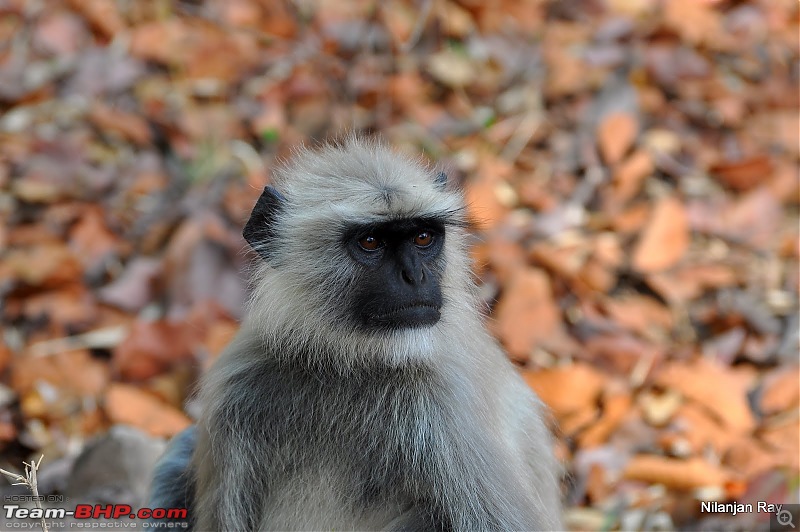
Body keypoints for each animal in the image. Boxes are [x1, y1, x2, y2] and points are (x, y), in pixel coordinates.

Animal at [150, 137, 564, 528]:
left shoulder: (444, 402)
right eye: (370, 242)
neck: (347, 364)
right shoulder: (236, 387)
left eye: (423, 238)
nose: (415, 277)